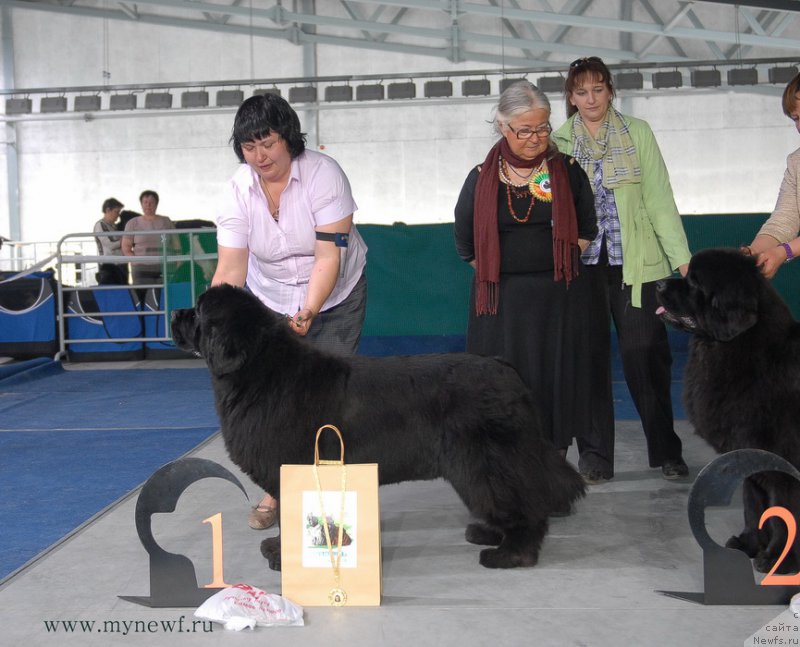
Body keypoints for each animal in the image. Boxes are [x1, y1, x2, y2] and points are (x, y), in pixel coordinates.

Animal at [172, 286, 580, 568]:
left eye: (199, 310)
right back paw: (488, 534)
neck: (260, 370)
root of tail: (507, 371)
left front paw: (282, 558)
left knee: (521, 503)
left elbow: (291, 518)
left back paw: (511, 554)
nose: (175, 312)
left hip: (486, 460)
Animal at [656, 248, 800, 572]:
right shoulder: (746, 452)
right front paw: (747, 545)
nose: (658, 284)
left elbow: (783, 511)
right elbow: (753, 506)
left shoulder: (782, 460)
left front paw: (778, 559)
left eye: (694, 283)